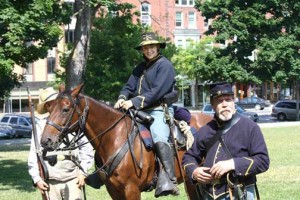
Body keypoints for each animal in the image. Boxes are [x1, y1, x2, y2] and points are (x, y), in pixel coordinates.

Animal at [40, 85, 211, 200]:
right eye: (50, 108)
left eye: (66, 109)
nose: (45, 140)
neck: (115, 137)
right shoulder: (114, 191)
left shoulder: (131, 190)